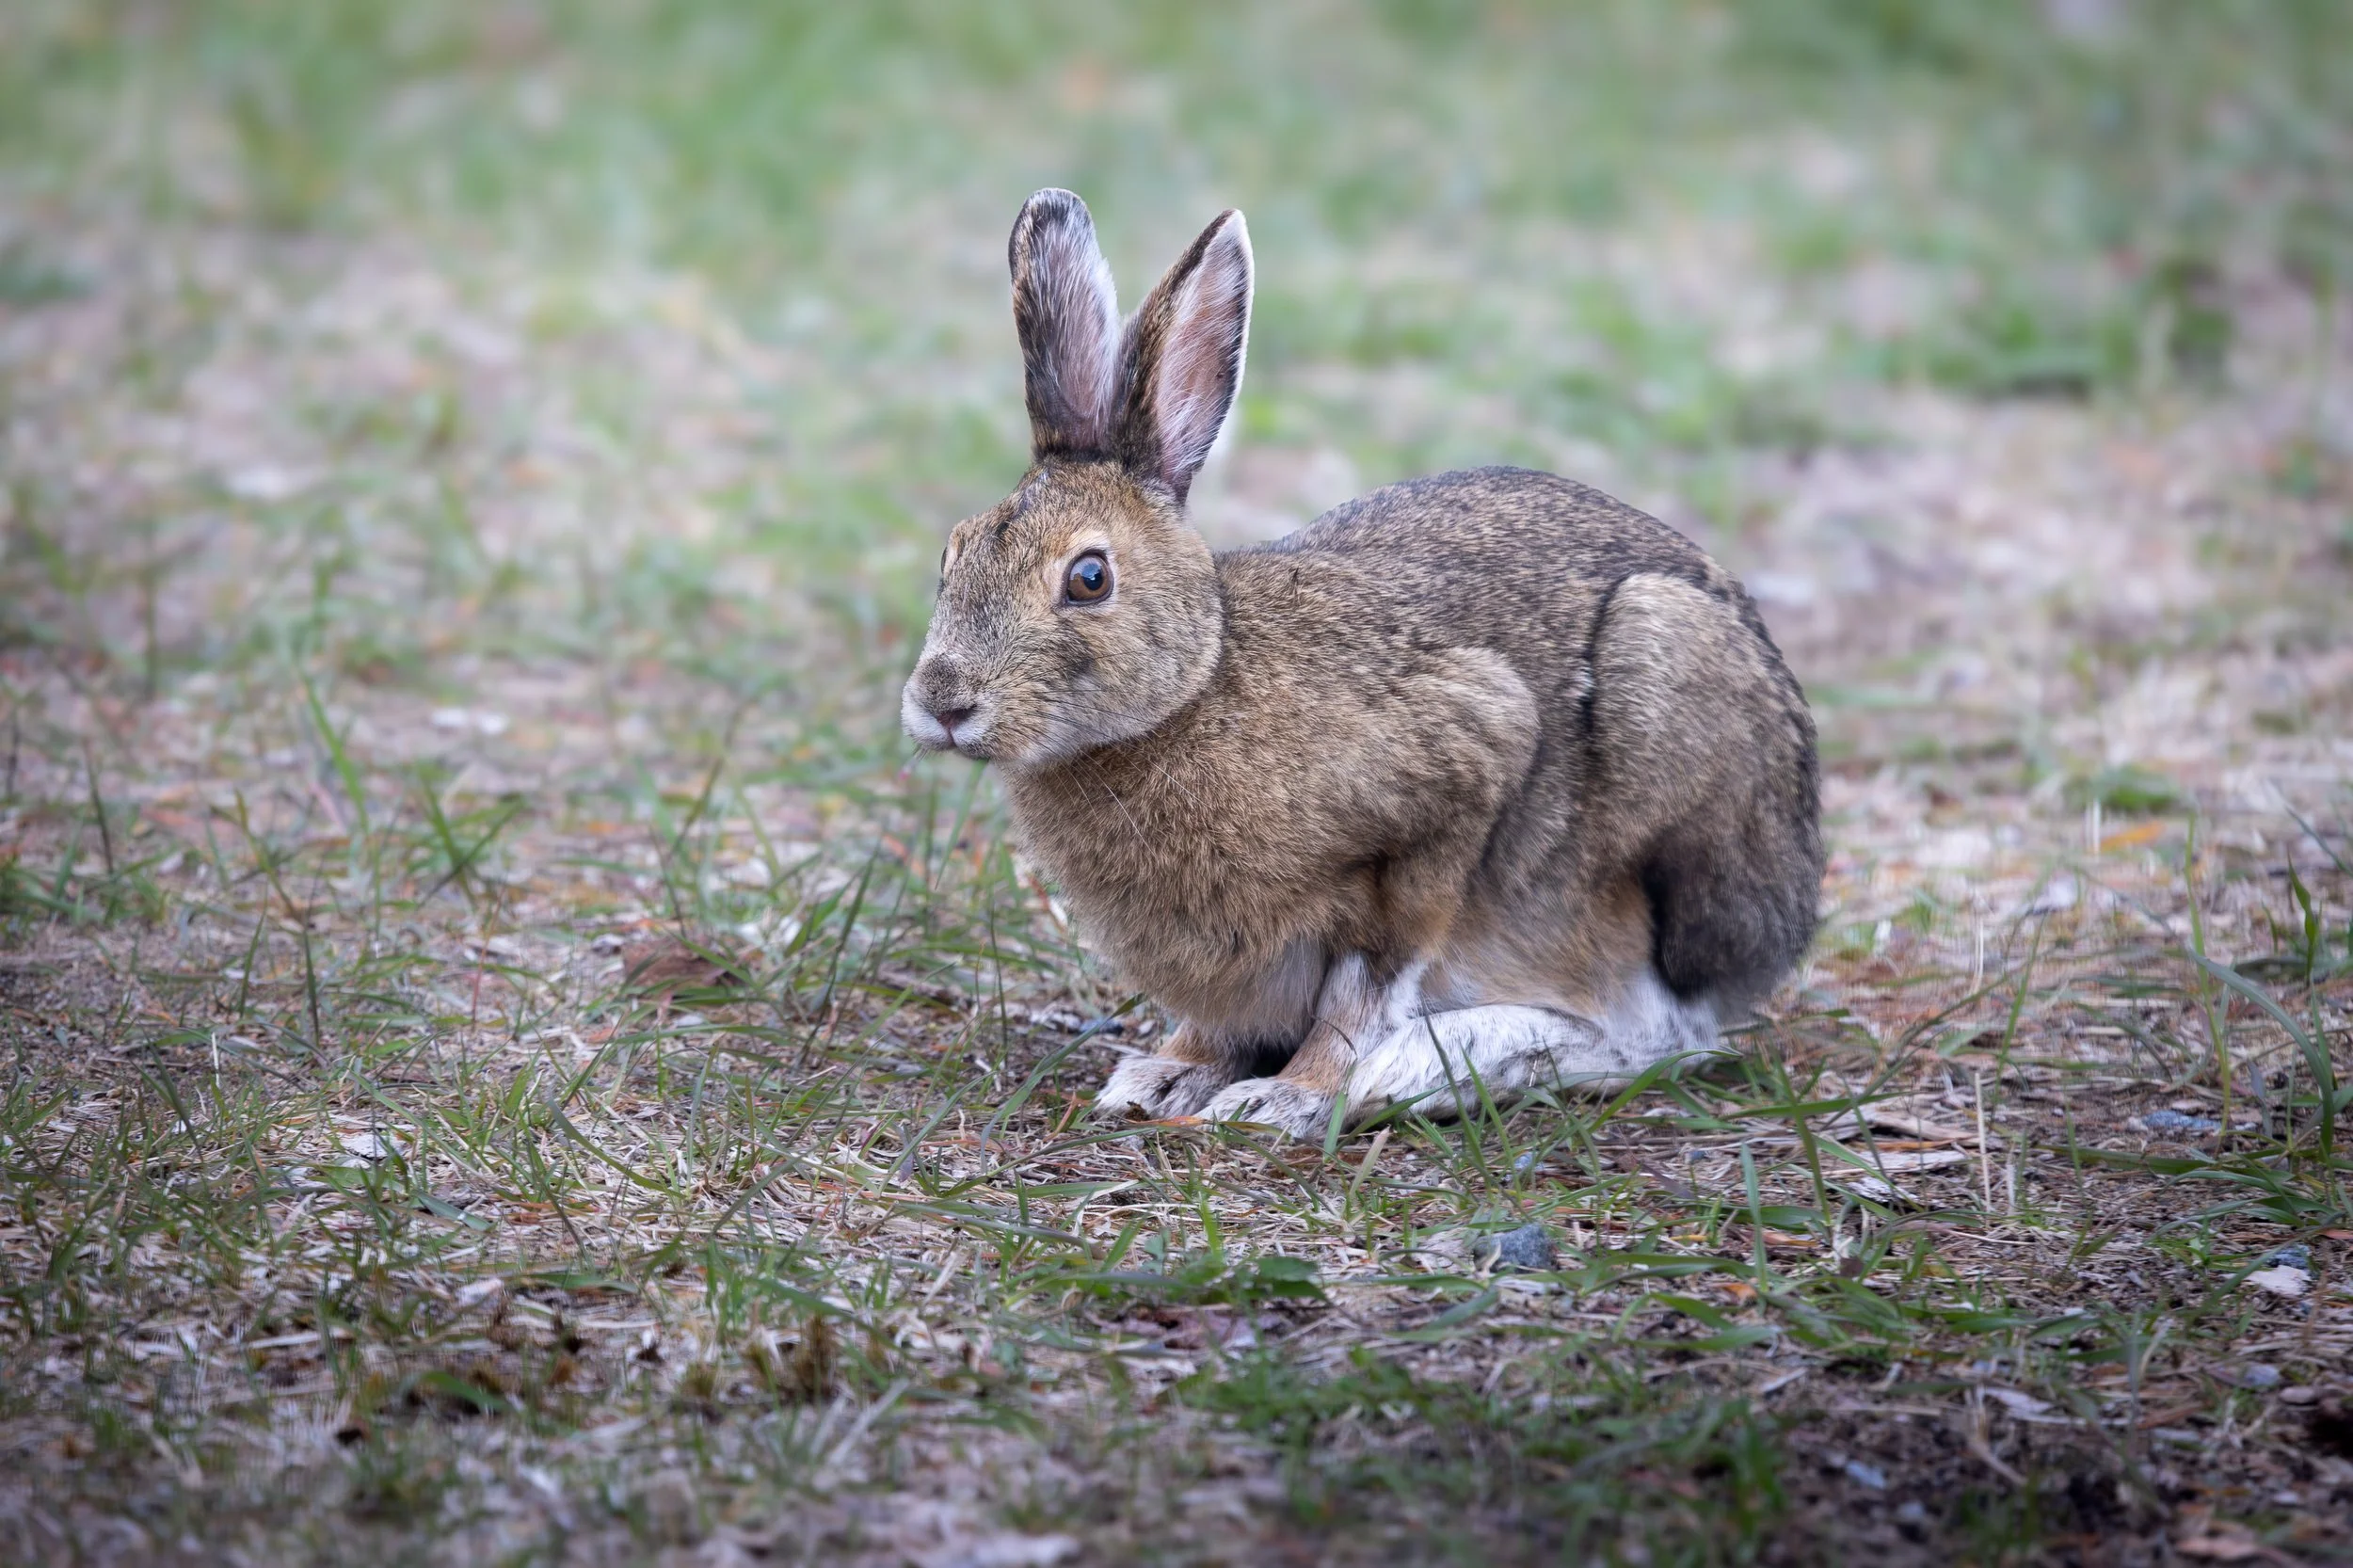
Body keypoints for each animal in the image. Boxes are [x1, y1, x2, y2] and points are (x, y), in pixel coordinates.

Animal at [901, 189, 1823, 1138]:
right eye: (951, 553)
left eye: (1089, 578)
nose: (942, 703)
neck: (1197, 688)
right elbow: (1220, 1024)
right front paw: (1167, 1077)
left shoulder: (1462, 766)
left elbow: (1364, 989)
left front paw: (1289, 1098)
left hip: (1663, 693)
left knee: (1661, 1032)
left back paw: (1438, 1068)